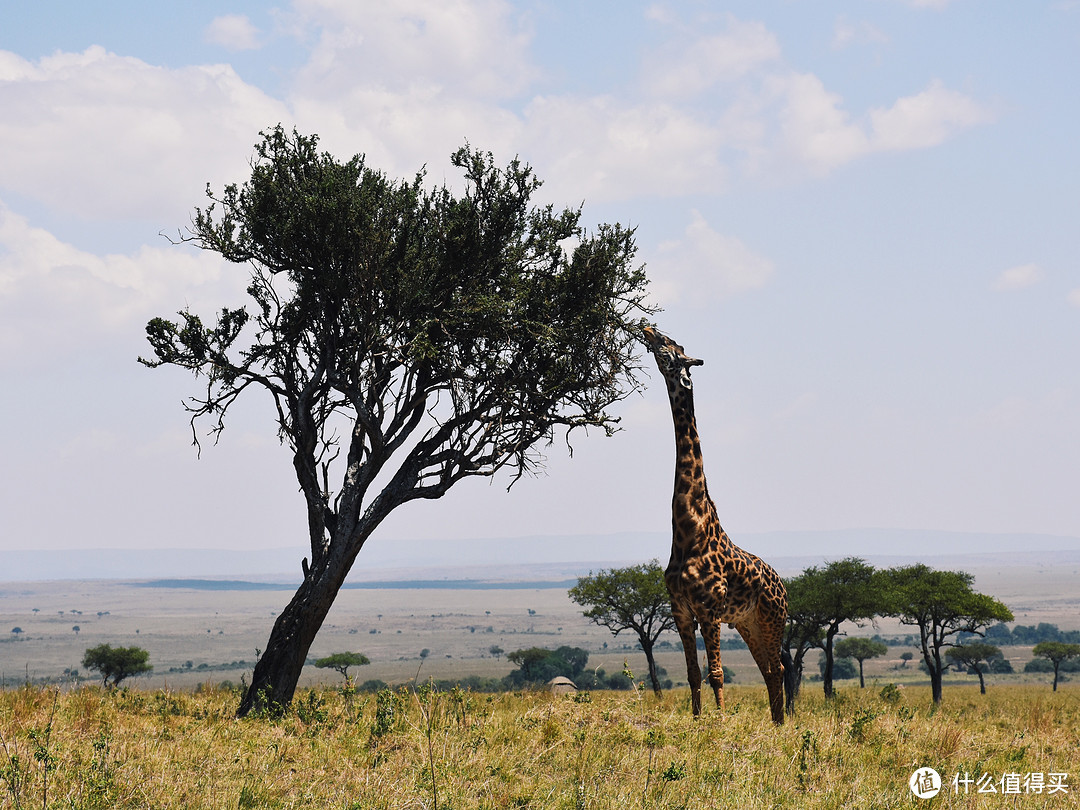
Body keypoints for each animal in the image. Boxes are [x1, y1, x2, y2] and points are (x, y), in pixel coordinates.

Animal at [639, 326, 794, 725]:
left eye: (671, 349)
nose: (647, 328)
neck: (687, 527)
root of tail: (783, 584)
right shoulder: (680, 610)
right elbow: (694, 673)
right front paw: (696, 722)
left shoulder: (708, 609)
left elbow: (717, 673)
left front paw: (720, 723)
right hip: (748, 623)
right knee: (769, 670)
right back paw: (776, 723)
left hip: (772, 619)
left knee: (778, 669)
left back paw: (781, 723)